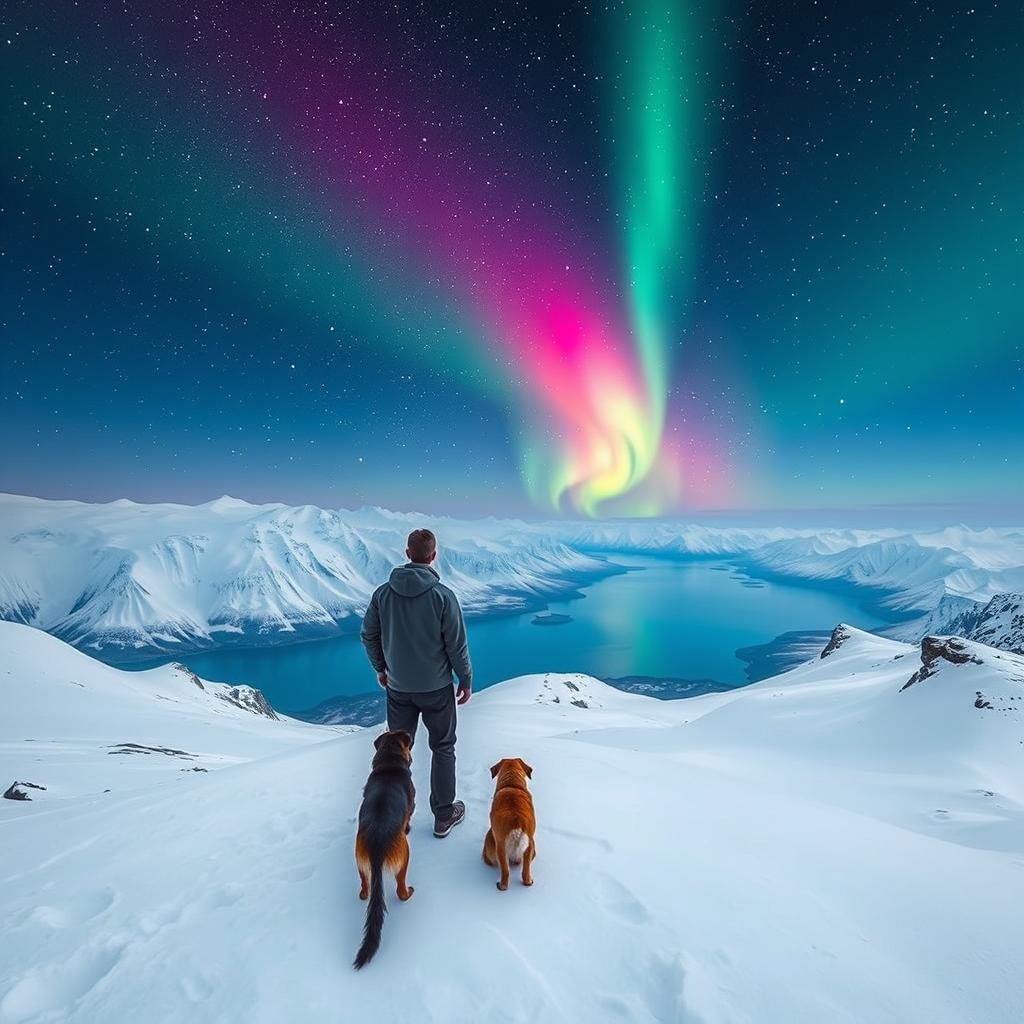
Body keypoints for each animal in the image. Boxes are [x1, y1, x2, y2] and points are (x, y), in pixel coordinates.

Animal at [483, 757, 540, 892]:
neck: (512, 784)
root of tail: (516, 822)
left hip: (496, 845)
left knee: (505, 871)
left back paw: (501, 886)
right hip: (530, 846)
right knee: (525, 872)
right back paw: (528, 882)